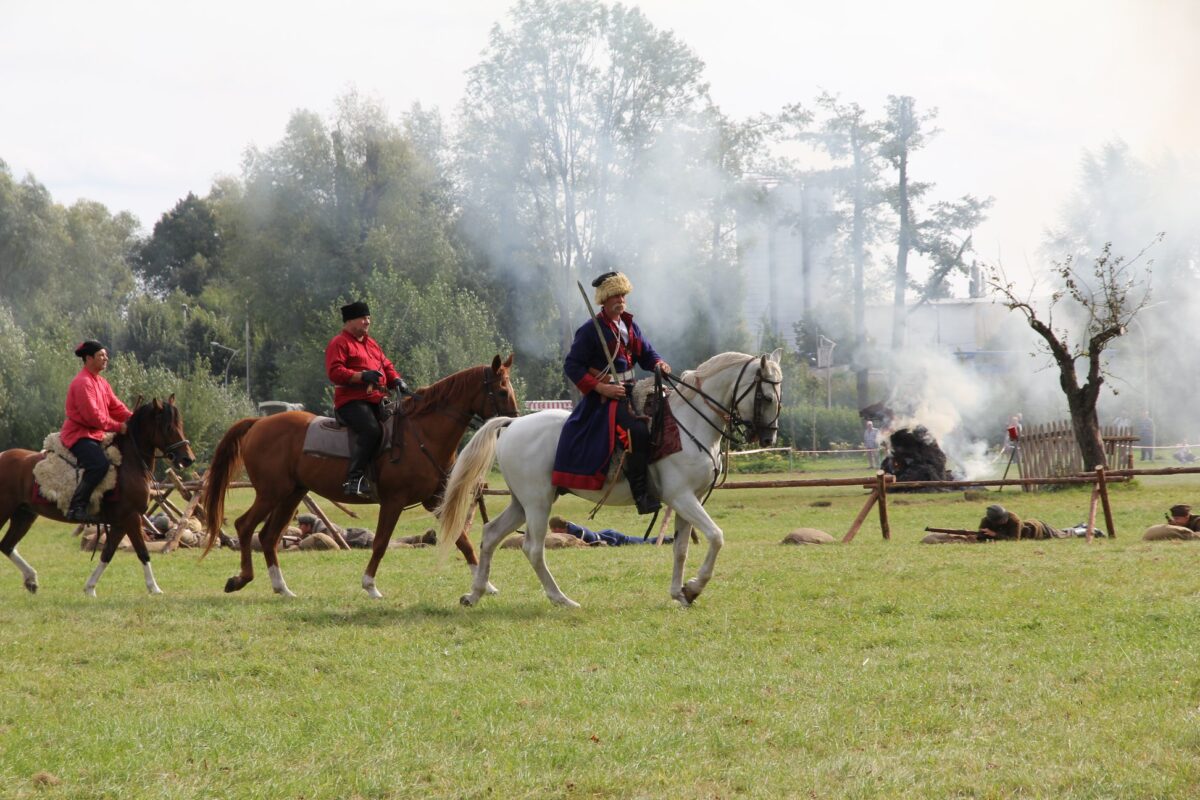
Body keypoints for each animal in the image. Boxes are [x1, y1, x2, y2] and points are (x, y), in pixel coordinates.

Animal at [0, 398, 196, 597]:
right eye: (168, 427)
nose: (188, 459)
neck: (128, 464)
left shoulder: (120, 523)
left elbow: (107, 553)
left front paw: (90, 588)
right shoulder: (132, 518)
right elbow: (142, 552)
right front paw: (154, 588)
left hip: (24, 515)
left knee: (7, 545)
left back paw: (31, 579)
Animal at [200, 352, 516, 597]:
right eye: (501, 391)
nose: (512, 422)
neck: (421, 434)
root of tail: (258, 423)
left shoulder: (434, 500)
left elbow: (463, 540)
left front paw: (485, 585)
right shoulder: (393, 501)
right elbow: (381, 542)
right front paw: (370, 586)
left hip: (291, 494)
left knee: (267, 536)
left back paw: (282, 588)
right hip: (271, 493)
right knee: (244, 526)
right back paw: (240, 579)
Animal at [436, 350, 782, 606]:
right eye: (766, 397)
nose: (768, 438)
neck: (689, 424)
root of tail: (512, 424)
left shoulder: (689, 500)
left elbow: (682, 549)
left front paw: (681, 592)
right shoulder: (682, 497)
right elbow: (716, 536)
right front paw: (695, 587)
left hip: (523, 502)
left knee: (491, 534)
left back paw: (475, 594)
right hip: (537, 503)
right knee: (532, 548)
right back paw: (561, 599)